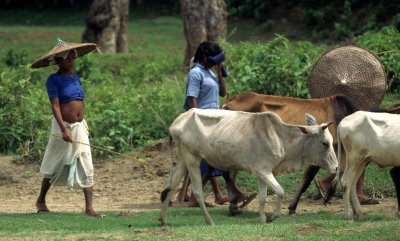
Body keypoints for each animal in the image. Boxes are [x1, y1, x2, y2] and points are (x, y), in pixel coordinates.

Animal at [159, 108, 338, 225]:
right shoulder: (263, 170)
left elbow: (262, 197)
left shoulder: (263, 173)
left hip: (184, 159)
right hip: (192, 159)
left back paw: (163, 220)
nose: (336, 168)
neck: (281, 137)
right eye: (325, 143)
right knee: (197, 191)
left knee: (170, 186)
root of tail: (175, 124)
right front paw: (272, 217)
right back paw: (209, 221)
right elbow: (280, 192)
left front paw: (262, 220)